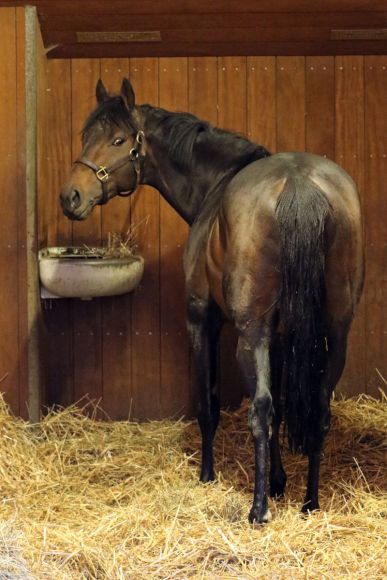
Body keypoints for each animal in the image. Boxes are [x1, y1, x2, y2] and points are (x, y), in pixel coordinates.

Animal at [59, 78, 364, 524]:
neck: (217, 185)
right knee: (318, 409)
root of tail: (300, 184)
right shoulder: (280, 334)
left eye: (118, 140)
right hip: (335, 334)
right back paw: (310, 502)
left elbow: (210, 404)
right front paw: (278, 481)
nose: (71, 197)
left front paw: (208, 475)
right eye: (86, 137)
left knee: (260, 408)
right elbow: (284, 408)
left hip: (249, 335)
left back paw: (258, 509)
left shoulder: (202, 320)